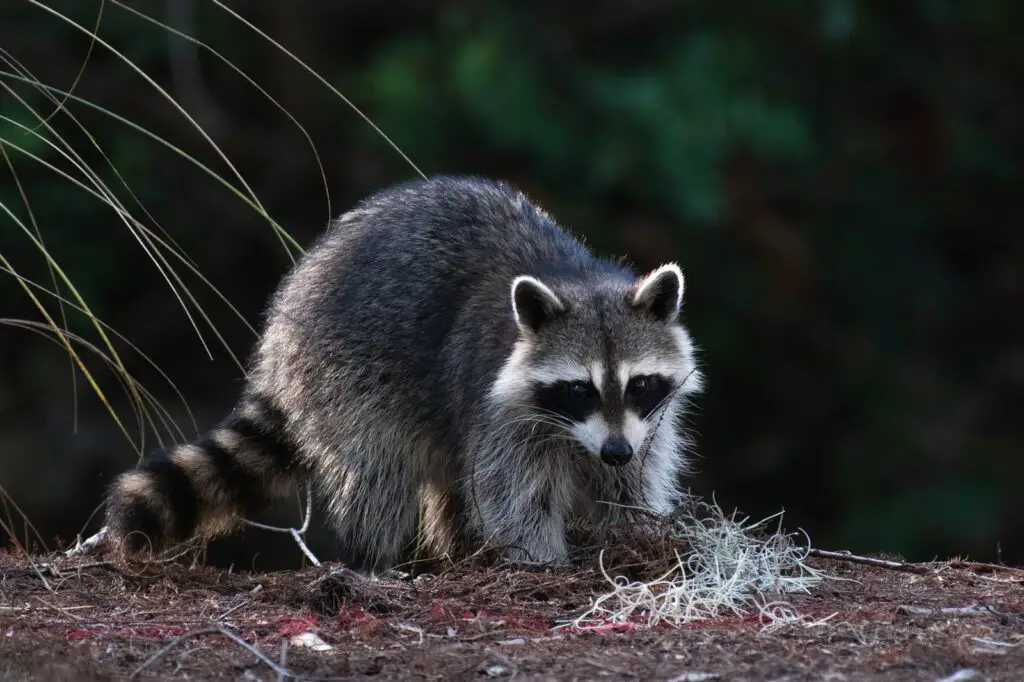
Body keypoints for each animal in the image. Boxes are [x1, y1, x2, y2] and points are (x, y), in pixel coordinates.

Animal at [105, 175, 704, 569]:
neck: (578, 279)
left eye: (639, 384)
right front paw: (540, 558)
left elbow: (633, 476)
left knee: (450, 477)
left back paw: (459, 550)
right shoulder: (496, 403)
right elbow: (513, 491)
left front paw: (637, 528)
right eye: (579, 389)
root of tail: (285, 317)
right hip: (347, 371)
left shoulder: (644, 422)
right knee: (379, 469)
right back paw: (375, 559)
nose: (614, 450)